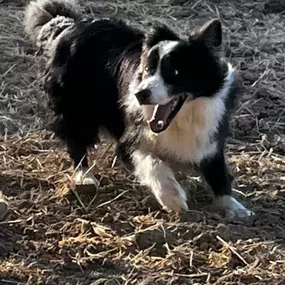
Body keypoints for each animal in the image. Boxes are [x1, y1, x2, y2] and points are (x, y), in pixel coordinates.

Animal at [25, 0, 253, 217]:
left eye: (175, 72)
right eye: (148, 69)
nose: (140, 94)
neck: (181, 118)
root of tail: (68, 25)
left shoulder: (209, 140)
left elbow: (218, 173)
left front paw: (235, 207)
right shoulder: (130, 138)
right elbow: (153, 162)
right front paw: (172, 197)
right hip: (74, 105)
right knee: (76, 140)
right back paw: (85, 178)